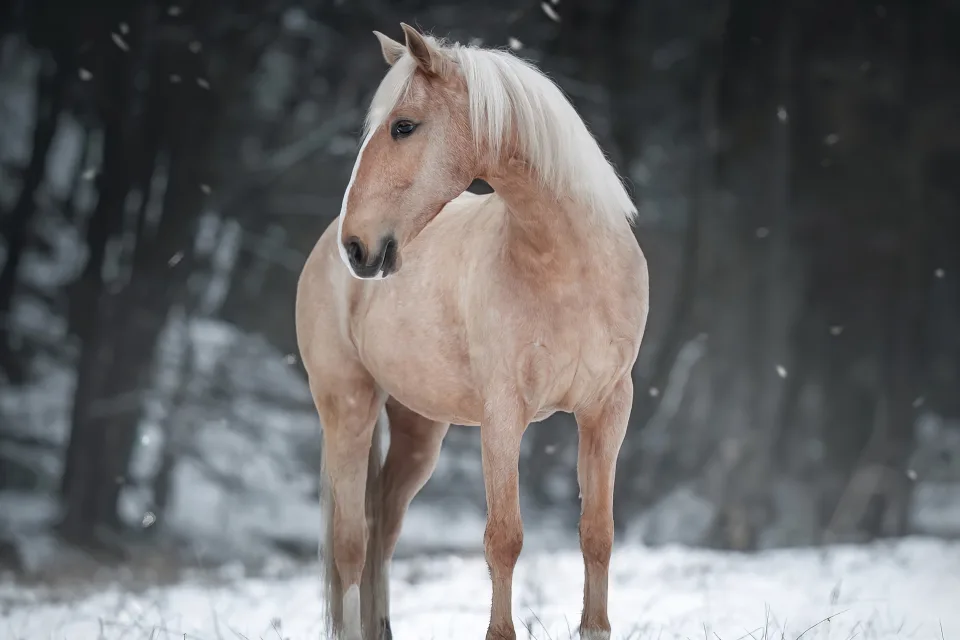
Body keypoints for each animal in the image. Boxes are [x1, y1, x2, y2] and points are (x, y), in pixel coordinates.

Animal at [295, 23, 649, 640]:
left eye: (403, 125)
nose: (358, 248)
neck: (567, 268)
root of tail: (323, 251)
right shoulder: (503, 415)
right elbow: (504, 538)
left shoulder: (608, 409)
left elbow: (597, 535)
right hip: (347, 409)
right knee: (350, 547)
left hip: (419, 431)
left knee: (382, 530)